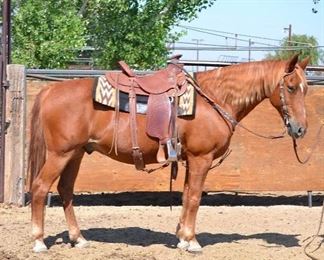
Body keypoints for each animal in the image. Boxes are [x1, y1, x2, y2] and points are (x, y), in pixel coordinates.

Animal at [29, 53, 308, 252]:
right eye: (291, 87)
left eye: (305, 88)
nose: (300, 128)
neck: (214, 99)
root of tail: (50, 90)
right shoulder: (201, 159)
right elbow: (194, 198)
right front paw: (192, 241)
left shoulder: (189, 160)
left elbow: (185, 196)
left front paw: (182, 237)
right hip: (60, 154)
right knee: (40, 188)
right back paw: (39, 241)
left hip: (75, 154)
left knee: (65, 190)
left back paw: (78, 238)